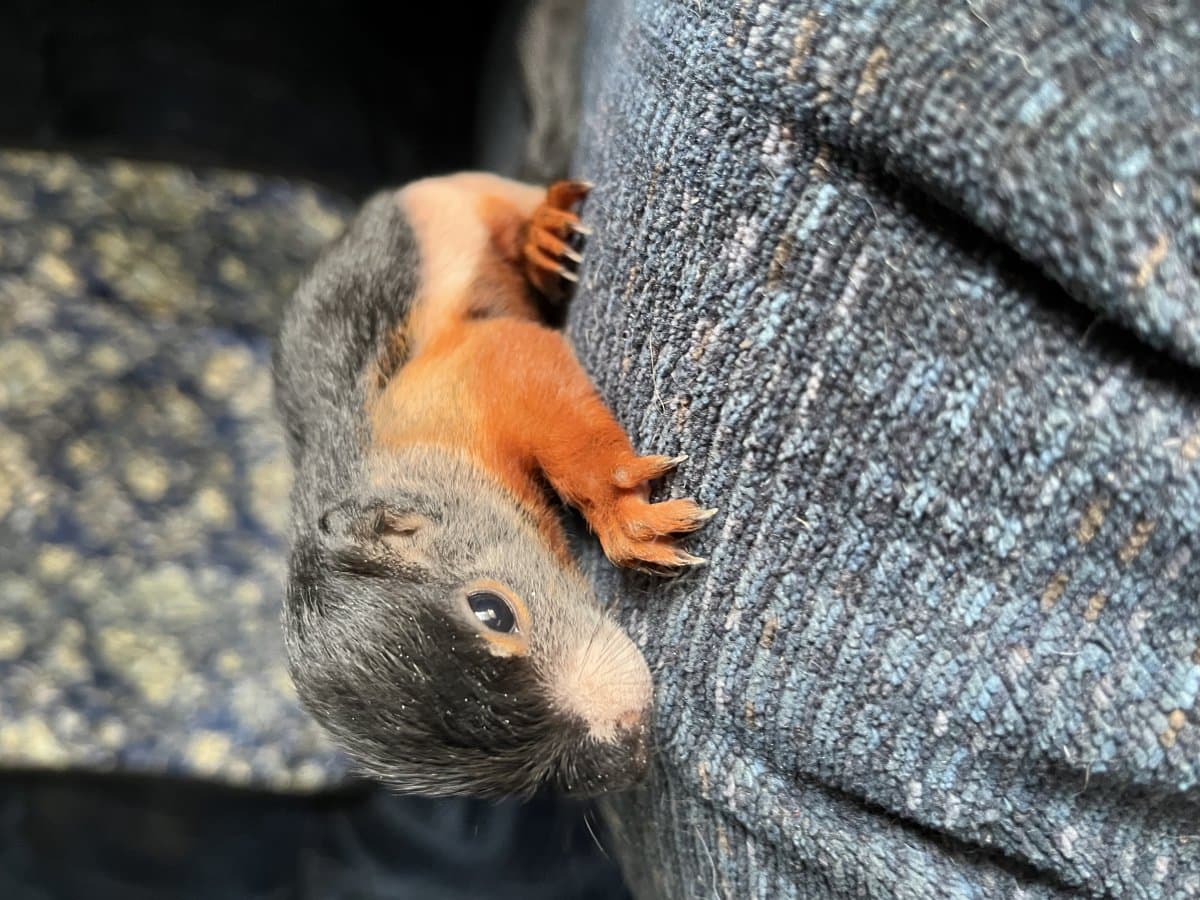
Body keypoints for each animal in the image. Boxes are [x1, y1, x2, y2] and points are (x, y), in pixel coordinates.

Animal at [273, 173, 714, 797]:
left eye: (493, 612)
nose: (629, 757)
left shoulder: (468, 371)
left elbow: (557, 419)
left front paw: (621, 510)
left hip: (465, 197)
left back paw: (542, 236)